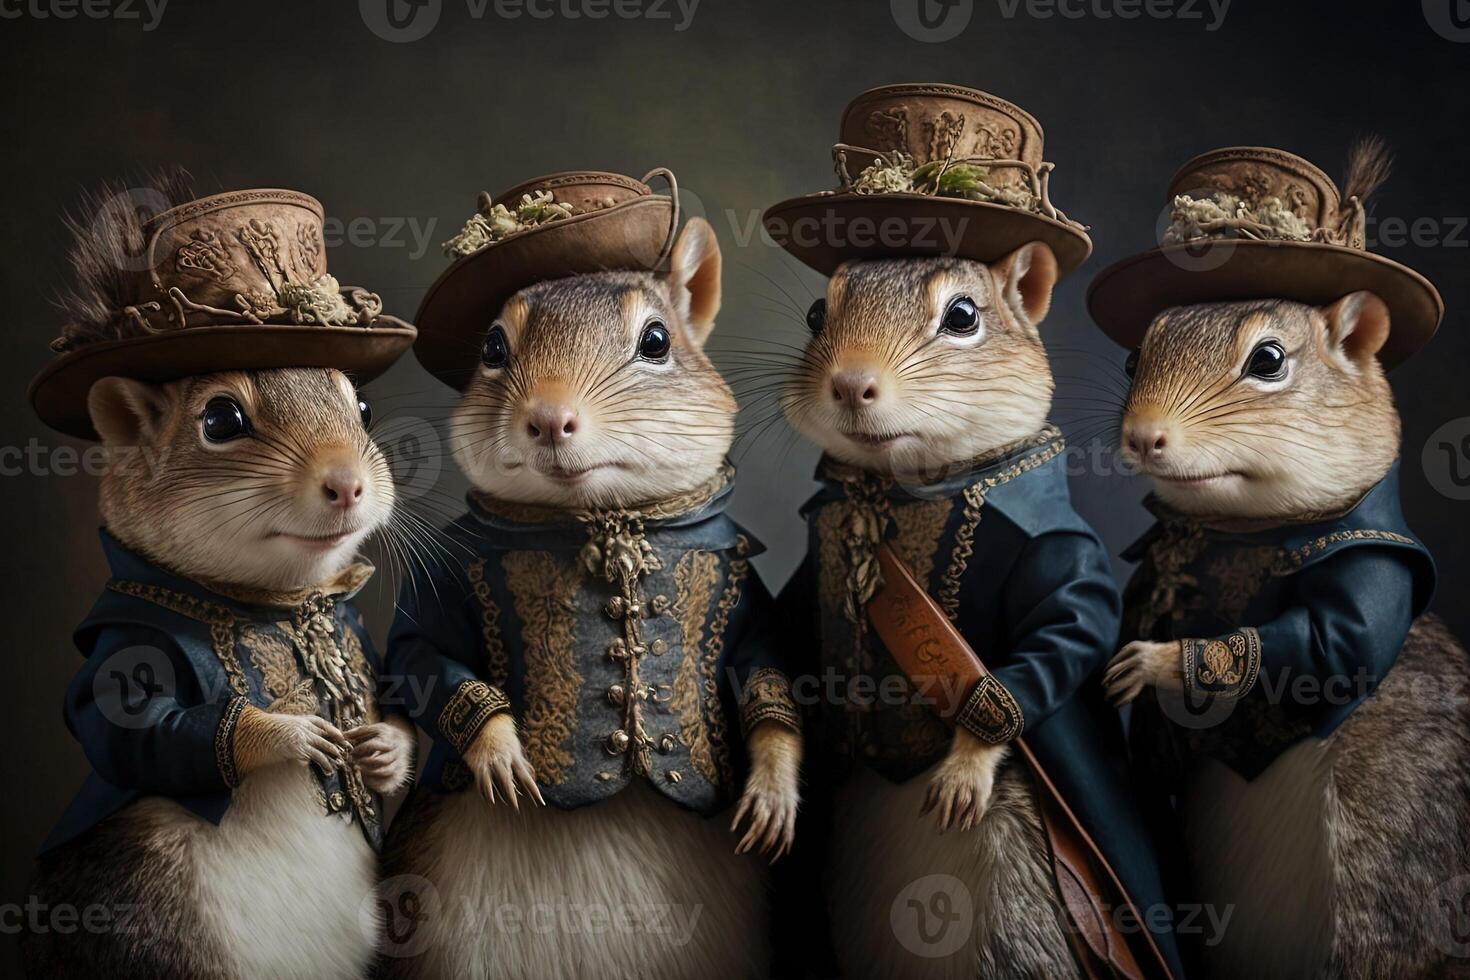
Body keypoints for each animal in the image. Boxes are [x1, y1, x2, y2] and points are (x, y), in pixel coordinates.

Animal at [22, 177, 415, 980]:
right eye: (222, 419)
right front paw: (286, 735)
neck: (285, 605)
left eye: (361, 405)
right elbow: (132, 727)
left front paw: (387, 749)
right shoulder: (126, 639)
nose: (348, 483)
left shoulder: (352, 626)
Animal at [378, 216, 804, 979]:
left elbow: (763, 663)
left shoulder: (741, 586)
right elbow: (419, 654)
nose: (550, 418)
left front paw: (774, 792)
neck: (608, 520)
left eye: (657, 341)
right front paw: (498, 751)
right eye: (493, 348)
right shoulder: (446, 582)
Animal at [778, 246, 1182, 978]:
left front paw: (966, 764)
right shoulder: (811, 570)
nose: (850, 384)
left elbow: (1065, 635)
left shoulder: (1059, 551)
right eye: (817, 314)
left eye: (963, 316)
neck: (902, 491)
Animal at [1106, 293, 1470, 978]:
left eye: (1269, 360)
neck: (1233, 534)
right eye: (1134, 358)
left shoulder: (1371, 568)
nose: (1142, 435)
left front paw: (1154, 663)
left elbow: (1330, 648)